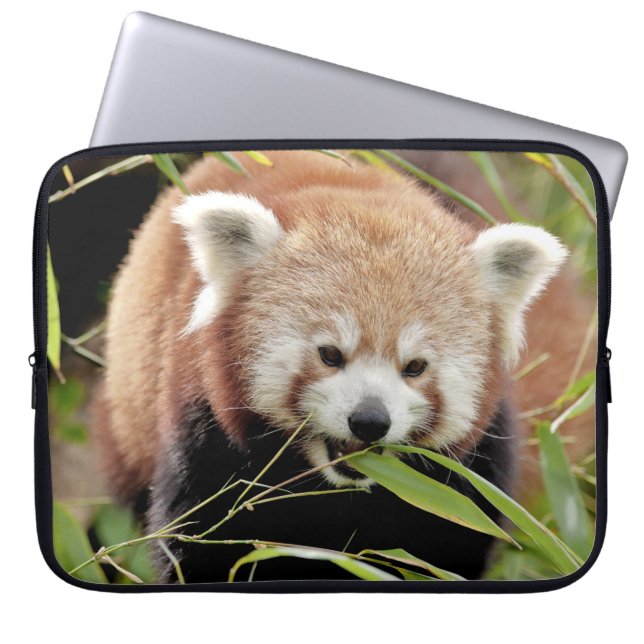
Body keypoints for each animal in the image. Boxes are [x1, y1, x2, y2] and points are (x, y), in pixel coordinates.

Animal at [95, 150, 572, 583]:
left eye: (415, 367)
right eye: (330, 355)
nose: (369, 421)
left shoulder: (465, 474)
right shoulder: (204, 430)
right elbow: (201, 544)